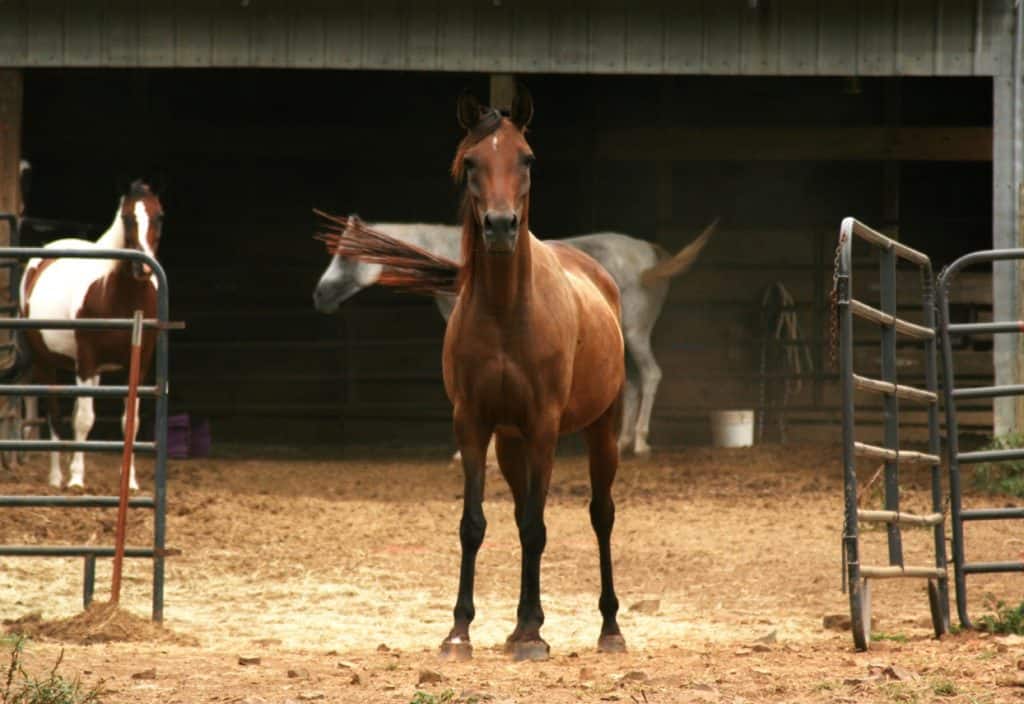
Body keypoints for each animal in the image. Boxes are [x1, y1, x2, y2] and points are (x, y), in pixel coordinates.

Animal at [20, 180, 163, 491]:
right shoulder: (86, 359)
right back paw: (56, 477)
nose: (144, 268)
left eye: (159, 216)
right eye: (127, 217)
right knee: (55, 414)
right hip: (45, 362)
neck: (117, 294)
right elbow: (85, 420)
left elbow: (130, 421)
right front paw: (76, 479)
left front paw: (129, 481)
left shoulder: (140, 363)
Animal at [313, 221, 716, 456]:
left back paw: (641, 442)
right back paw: (623, 441)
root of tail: (651, 253)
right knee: (630, 383)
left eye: (346, 257)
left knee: (650, 376)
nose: (320, 295)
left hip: (634, 333)